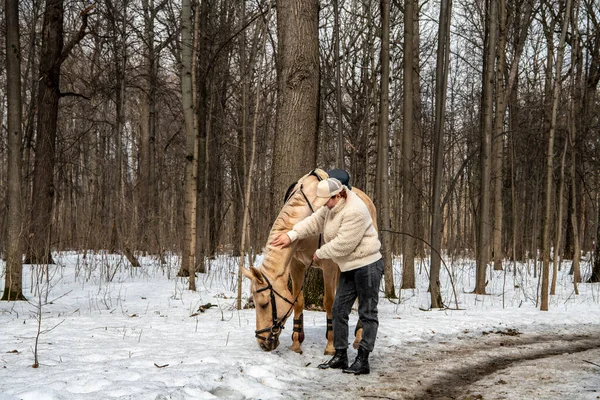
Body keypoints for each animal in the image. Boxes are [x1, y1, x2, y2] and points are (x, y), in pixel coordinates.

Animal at [241, 168, 378, 354]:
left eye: (264, 304)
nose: (262, 343)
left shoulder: (329, 266)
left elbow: (329, 302)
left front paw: (330, 345)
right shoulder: (296, 265)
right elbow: (298, 302)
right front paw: (296, 342)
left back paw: (358, 336)